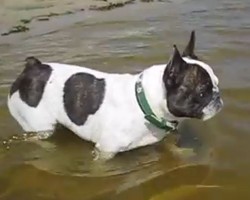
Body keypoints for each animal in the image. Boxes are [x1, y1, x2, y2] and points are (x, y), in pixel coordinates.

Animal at [7, 30, 223, 159]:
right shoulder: (105, 152)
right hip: (39, 126)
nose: (218, 97)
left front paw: (184, 153)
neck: (145, 106)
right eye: (202, 92)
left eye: (217, 84)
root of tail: (32, 68)